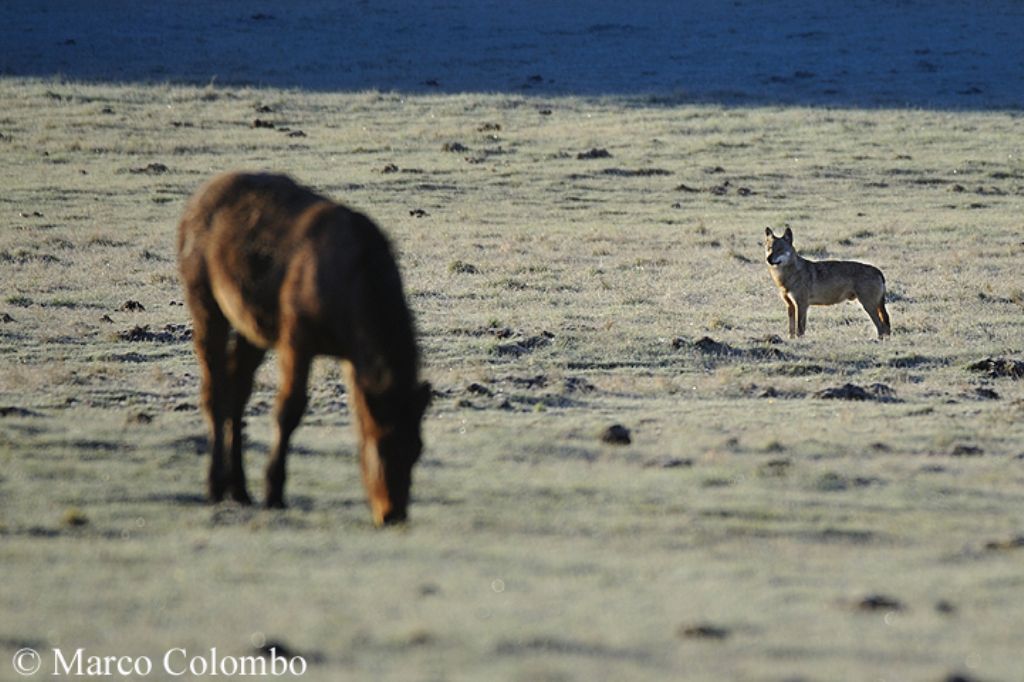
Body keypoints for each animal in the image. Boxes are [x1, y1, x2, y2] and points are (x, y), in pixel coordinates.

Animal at [178, 173, 430, 522]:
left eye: (418, 449)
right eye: (380, 447)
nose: (393, 514)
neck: (349, 282)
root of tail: (196, 202)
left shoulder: (353, 358)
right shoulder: (297, 339)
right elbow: (289, 411)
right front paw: (274, 492)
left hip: (250, 327)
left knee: (236, 393)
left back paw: (239, 488)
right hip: (206, 304)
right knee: (215, 392)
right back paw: (216, 485)